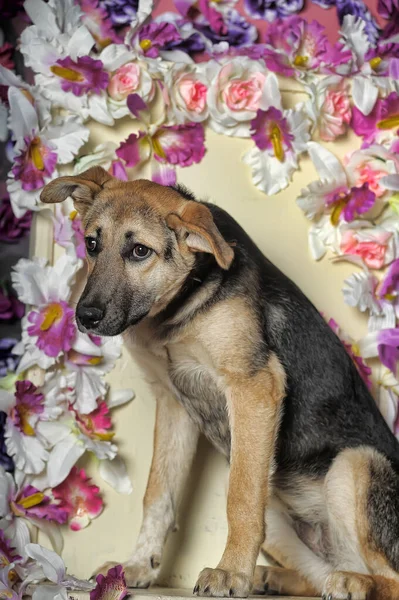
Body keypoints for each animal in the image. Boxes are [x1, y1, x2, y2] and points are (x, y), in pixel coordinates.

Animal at [41, 165, 399, 600]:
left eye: (140, 251)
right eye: (92, 244)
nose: (86, 317)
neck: (176, 310)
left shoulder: (253, 386)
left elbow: (240, 497)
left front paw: (230, 573)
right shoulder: (173, 402)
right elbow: (158, 493)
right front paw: (139, 566)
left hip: (354, 463)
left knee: (388, 578)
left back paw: (352, 582)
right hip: (279, 515)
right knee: (321, 573)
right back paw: (274, 578)